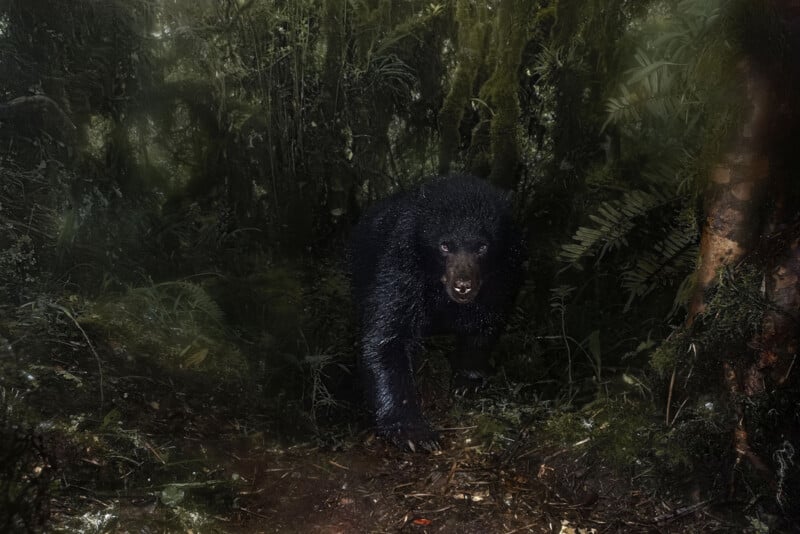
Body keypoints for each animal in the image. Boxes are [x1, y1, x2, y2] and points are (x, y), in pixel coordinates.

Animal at [346, 176, 520, 452]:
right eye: (445, 245)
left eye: (482, 246)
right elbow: (386, 337)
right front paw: (413, 431)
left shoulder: (504, 272)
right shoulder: (400, 265)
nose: (463, 285)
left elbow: (487, 321)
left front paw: (467, 381)